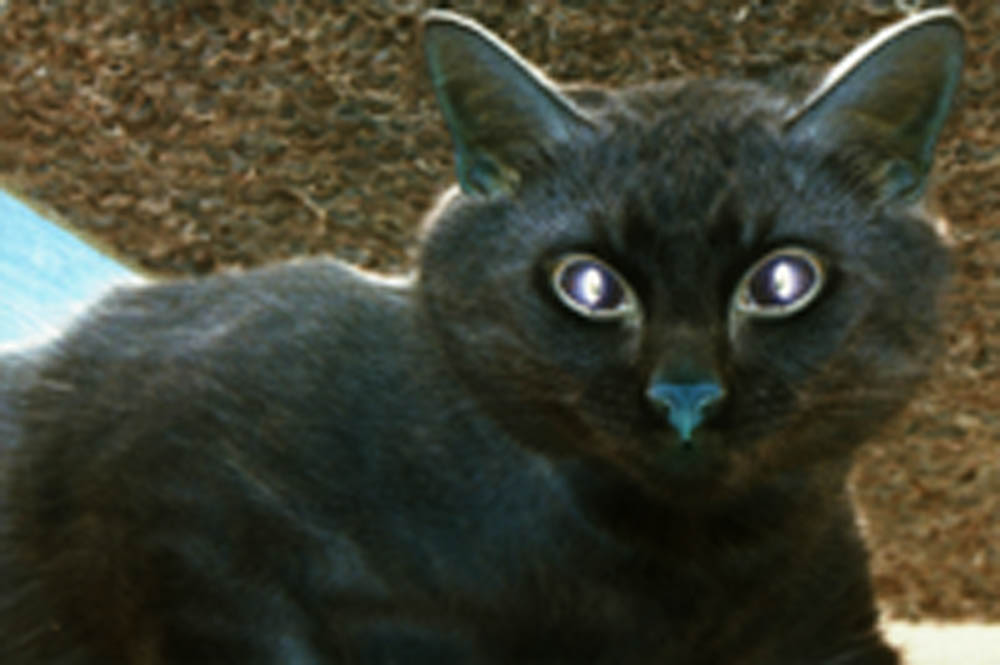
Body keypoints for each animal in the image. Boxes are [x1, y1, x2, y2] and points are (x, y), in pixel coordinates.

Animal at [1, 6, 968, 664]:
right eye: (589, 284)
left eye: (781, 281)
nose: (686, 392)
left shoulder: (833, 632)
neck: (672, 566)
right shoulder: (181, 484)